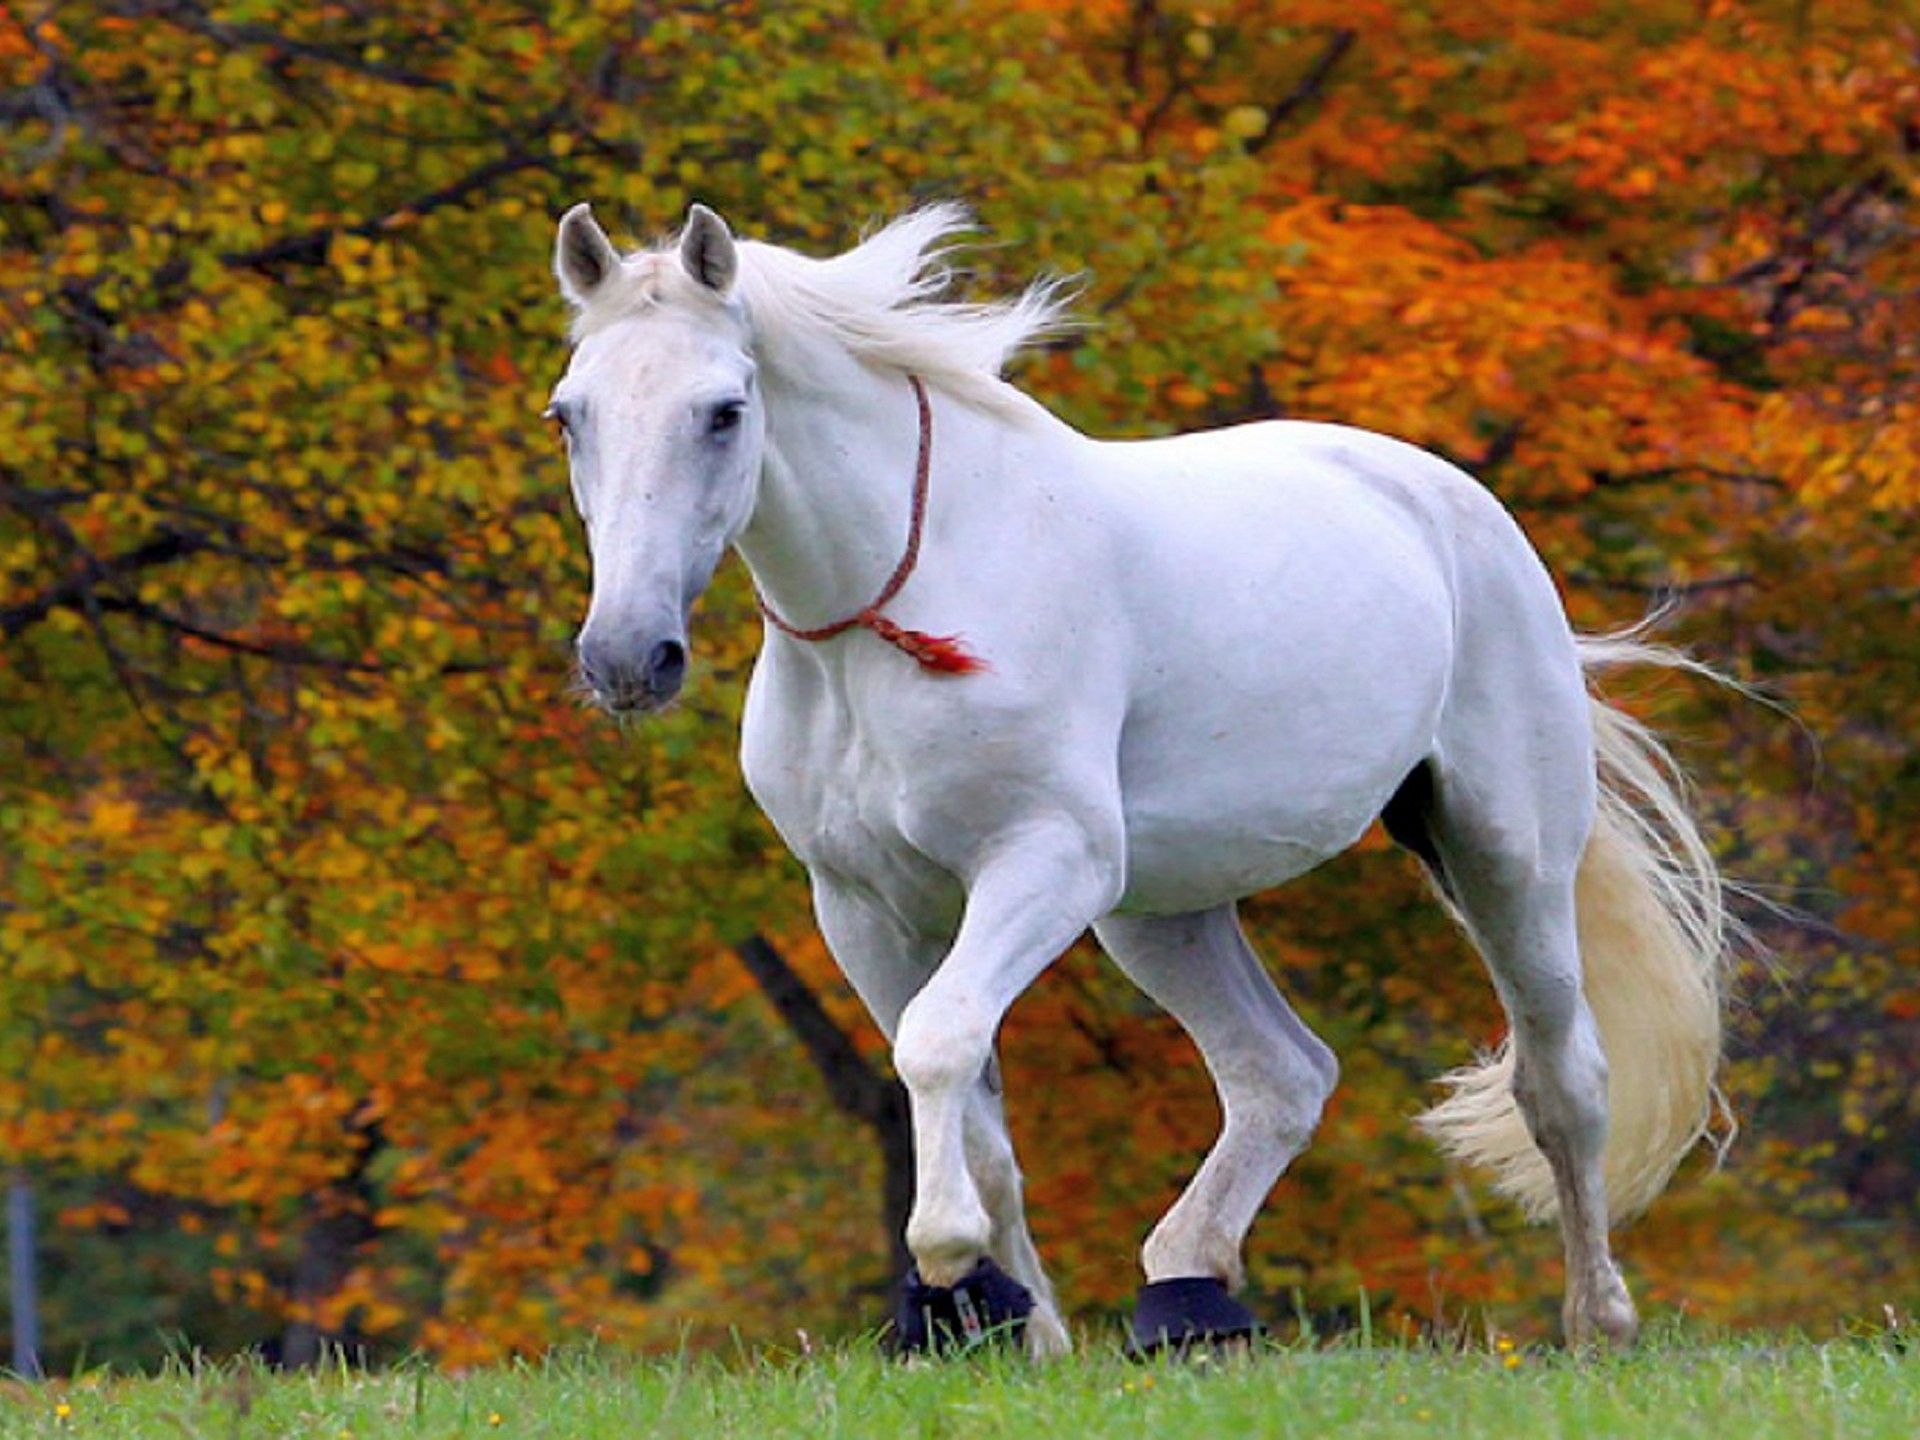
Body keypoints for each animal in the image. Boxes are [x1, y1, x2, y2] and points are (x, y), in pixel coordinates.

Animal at [545, 201, 1730, 1358]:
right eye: (569, 415)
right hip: (1164, 913)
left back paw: (1597, 1323)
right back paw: (1185, 1300)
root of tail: (1453, 504)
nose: (627, 658)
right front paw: (1020, 1328)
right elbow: (977, 1108)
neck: (898, 607)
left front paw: (947, 1258)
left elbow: (937, 1040)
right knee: (1280, 1076)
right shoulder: (862, 905)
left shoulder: (1044, 863)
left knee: (1561, 1079)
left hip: (1501, 858)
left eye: (724, 411)